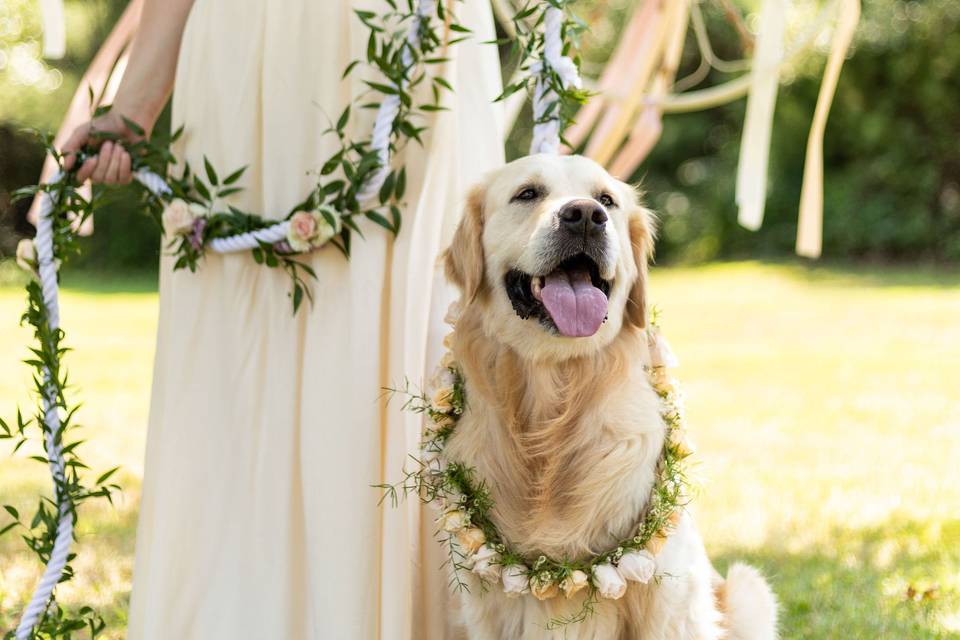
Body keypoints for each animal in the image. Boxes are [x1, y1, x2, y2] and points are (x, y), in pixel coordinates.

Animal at [442, 156, 780, 640]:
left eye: (607, 200)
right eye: (527, 194)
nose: (585, 216)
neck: (557, 390)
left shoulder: (669, 598)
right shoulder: (484, 605)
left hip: (748, 589)